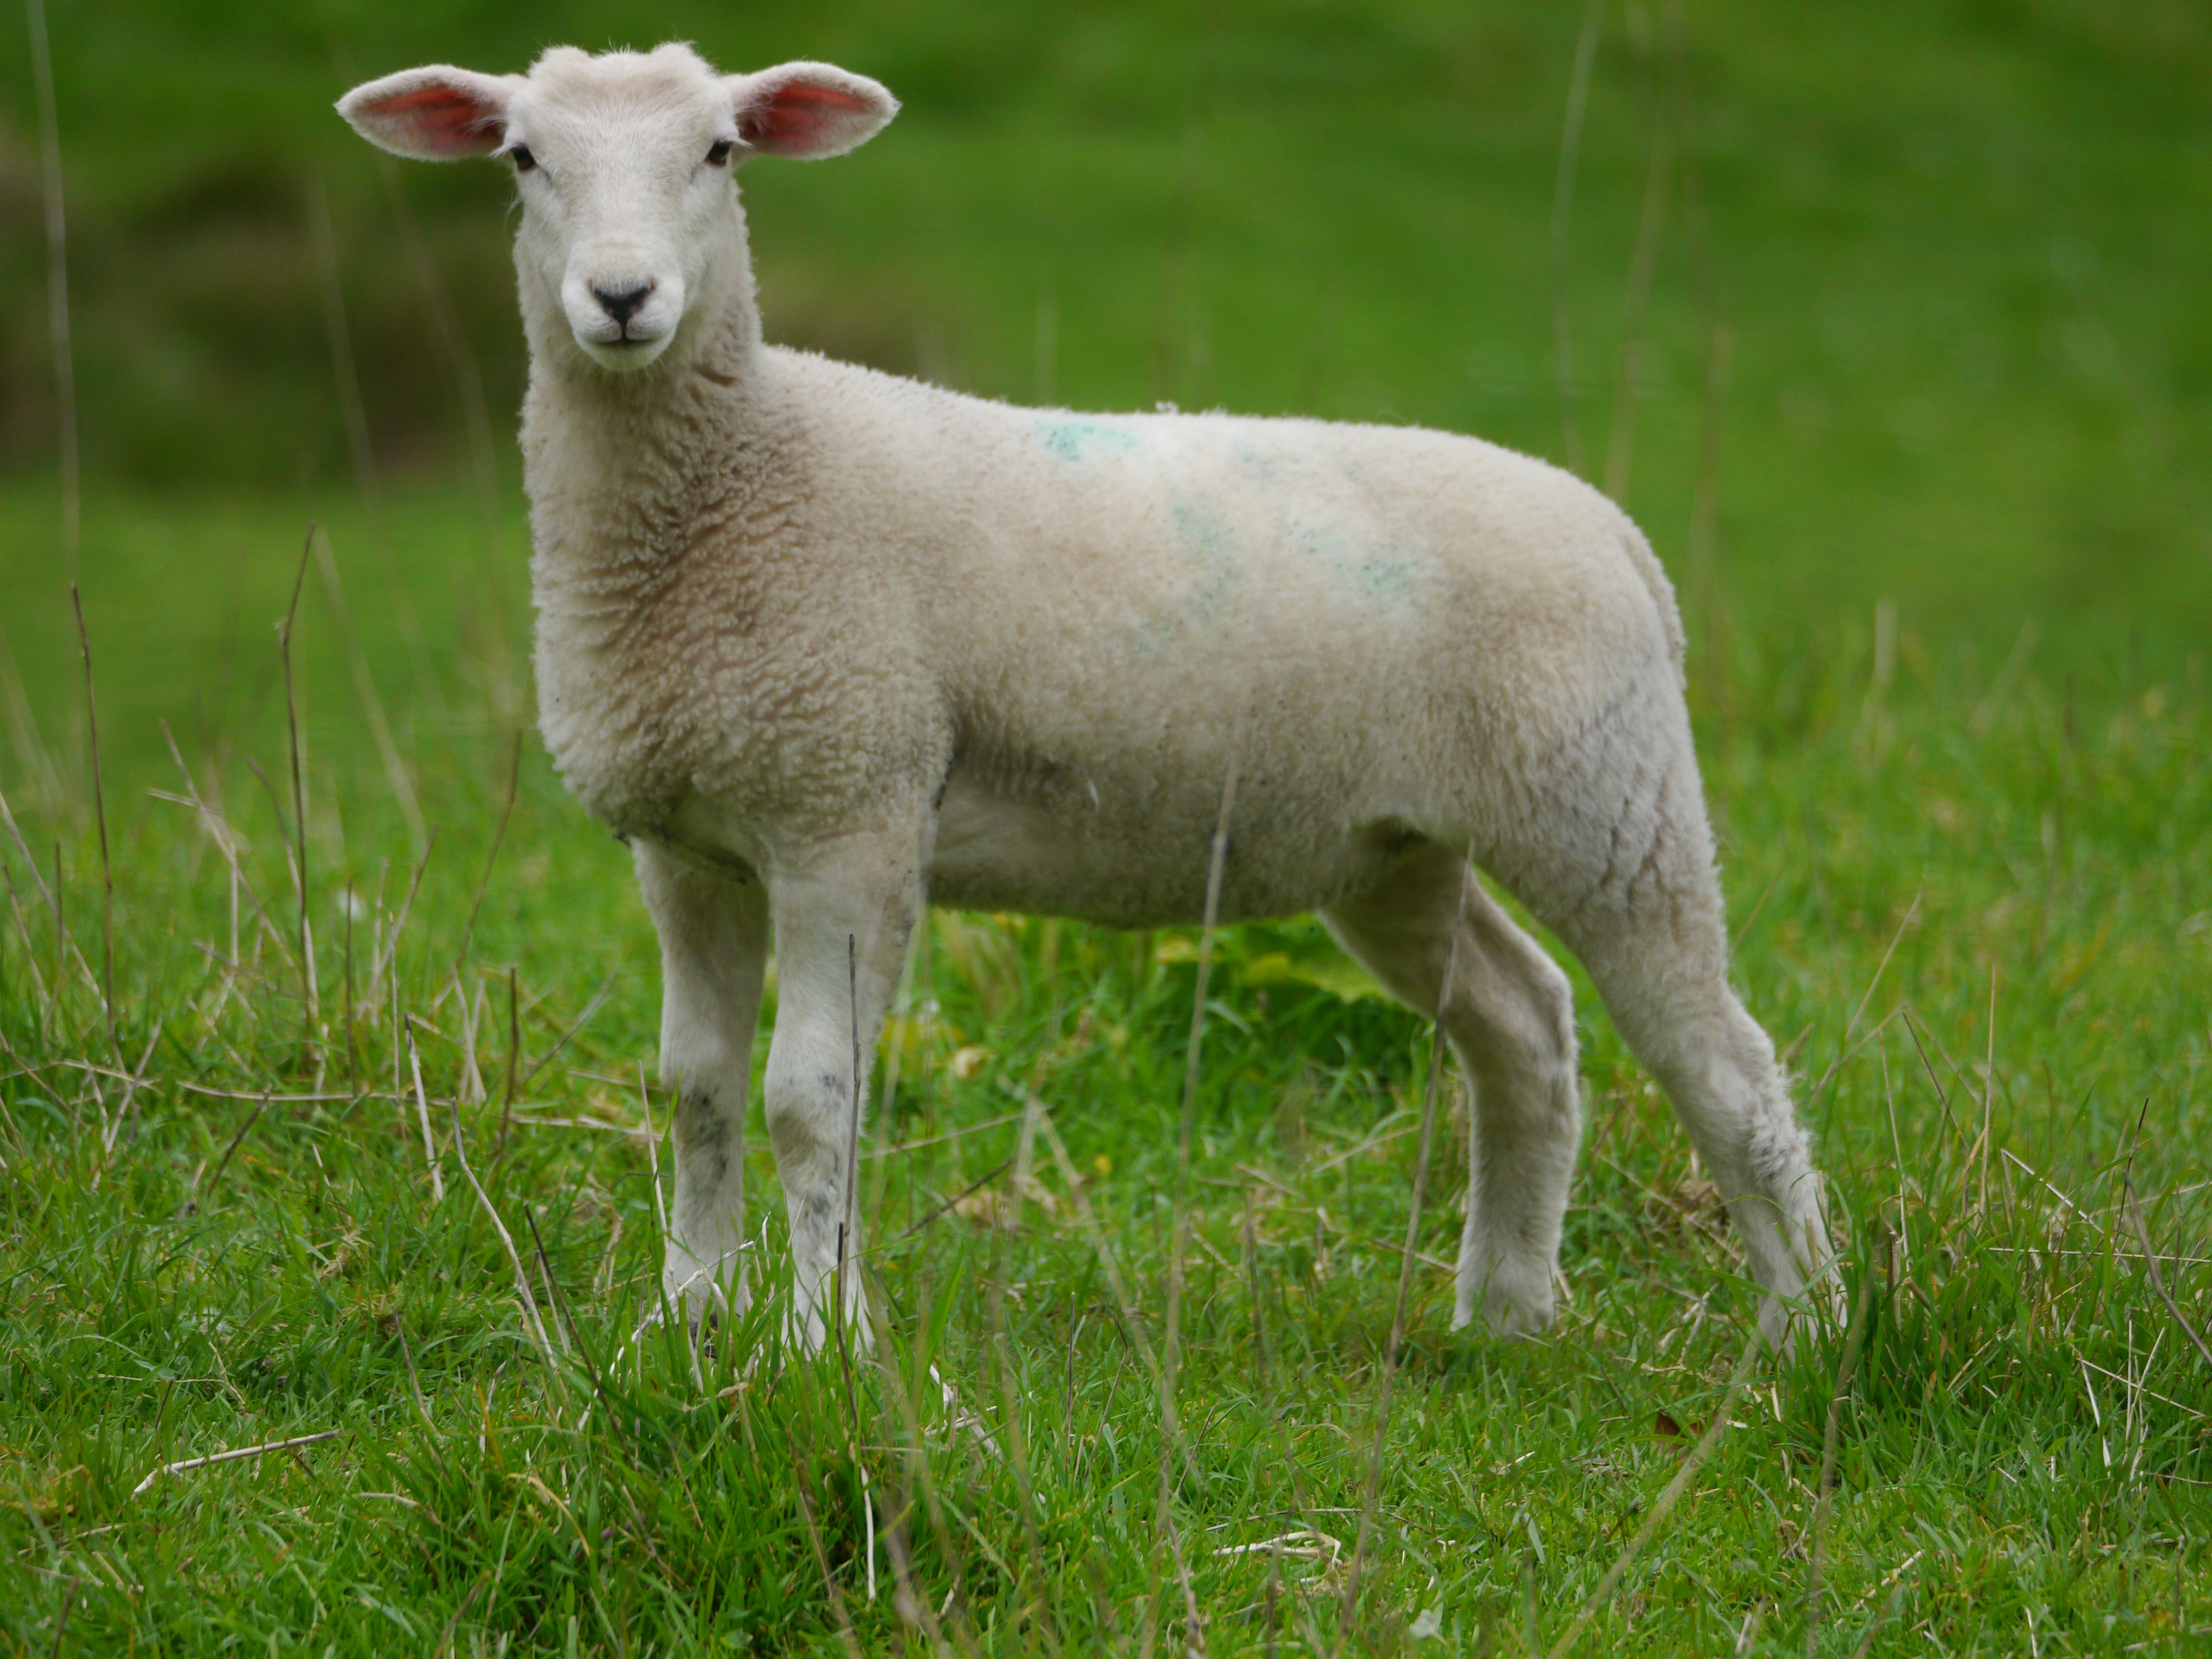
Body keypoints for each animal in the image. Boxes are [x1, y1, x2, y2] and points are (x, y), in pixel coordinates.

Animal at [338, 42, 1836, 1354]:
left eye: (719, 150)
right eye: (524, 157)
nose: (622, 298)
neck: (741, 479)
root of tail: (1623, 539)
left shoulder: (849, 811)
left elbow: (810, 1100)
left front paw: (822, 1344)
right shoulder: (691, 841)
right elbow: (698, 1092)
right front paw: (688, 1323)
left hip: (1607, 801)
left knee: (1725, 1062)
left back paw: (1808, 1331)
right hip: (1396, 847)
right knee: (1524, 1029)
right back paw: (1506, 1315)